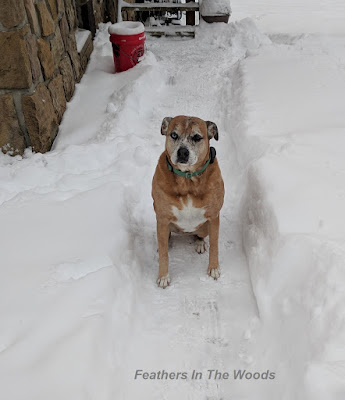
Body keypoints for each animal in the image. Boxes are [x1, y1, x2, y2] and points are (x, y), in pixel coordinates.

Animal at [150, 115, 223, 288]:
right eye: (174, 135)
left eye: (197, 137)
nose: (182, 151)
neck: (187, 179)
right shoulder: (162, 218)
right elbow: (164, 254)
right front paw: (163, 276)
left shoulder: (213, 216)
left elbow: (215, 245)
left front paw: (213, 268)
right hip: (164, 226)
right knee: (164, 240)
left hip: (204, 227)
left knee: (200, 235)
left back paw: (199, 243)